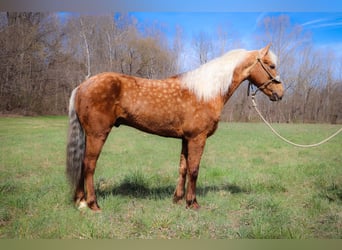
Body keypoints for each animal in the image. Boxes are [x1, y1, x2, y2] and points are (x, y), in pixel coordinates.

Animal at [66, 43, 284, 211]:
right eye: (271, 65)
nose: (280, 94)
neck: (206, 92)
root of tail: (82, 85)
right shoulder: (197, 138)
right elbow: (194, 169)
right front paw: (193, 203)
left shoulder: (186, 139)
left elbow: (183, 168)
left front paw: (178, 199)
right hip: (97, 134)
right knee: (89, 165)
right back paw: (93, 204)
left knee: (82, 164)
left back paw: (80, 201)